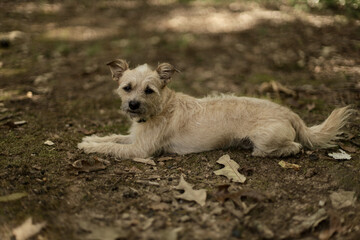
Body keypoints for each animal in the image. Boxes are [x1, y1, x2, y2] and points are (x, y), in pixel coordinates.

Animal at [78, 59, 352, 158]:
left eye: (149, 91)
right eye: (127, 88)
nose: (133, 105)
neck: (160, 108)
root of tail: (289, 112)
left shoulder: (140, 150)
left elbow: (112, 147)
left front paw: (90, 146)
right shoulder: (134, 138)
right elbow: (113, 137)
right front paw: (91, 139)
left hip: (264, 137)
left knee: (294, 147)